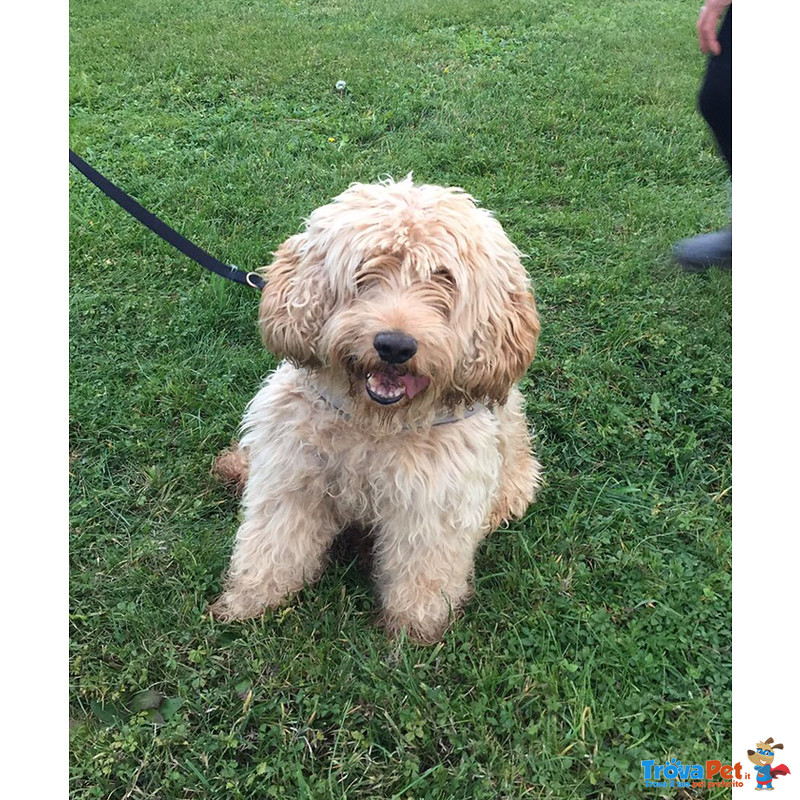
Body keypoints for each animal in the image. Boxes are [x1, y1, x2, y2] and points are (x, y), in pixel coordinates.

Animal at [209, 177, 540, 644]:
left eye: (444, 278)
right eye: (366, 269)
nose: (395, 346)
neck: (373, 422)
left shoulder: (433, 503)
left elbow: (423, 570)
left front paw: (414, 628)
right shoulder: (292, 474)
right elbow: (274, 543)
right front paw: (248, 600)